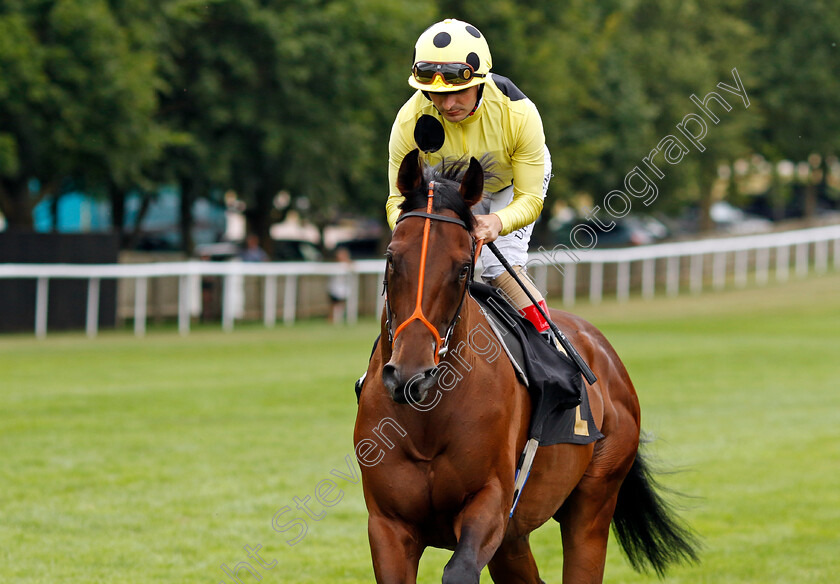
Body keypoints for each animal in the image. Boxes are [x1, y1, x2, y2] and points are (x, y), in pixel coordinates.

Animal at [352, 148, 700, 580]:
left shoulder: (492, 504)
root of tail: (605, 353)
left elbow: (458, 570)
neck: (427, 420)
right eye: (391, 258)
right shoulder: (388, 525)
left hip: (593, 501)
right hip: (514, 538)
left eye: (463, 268)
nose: (411, 376)